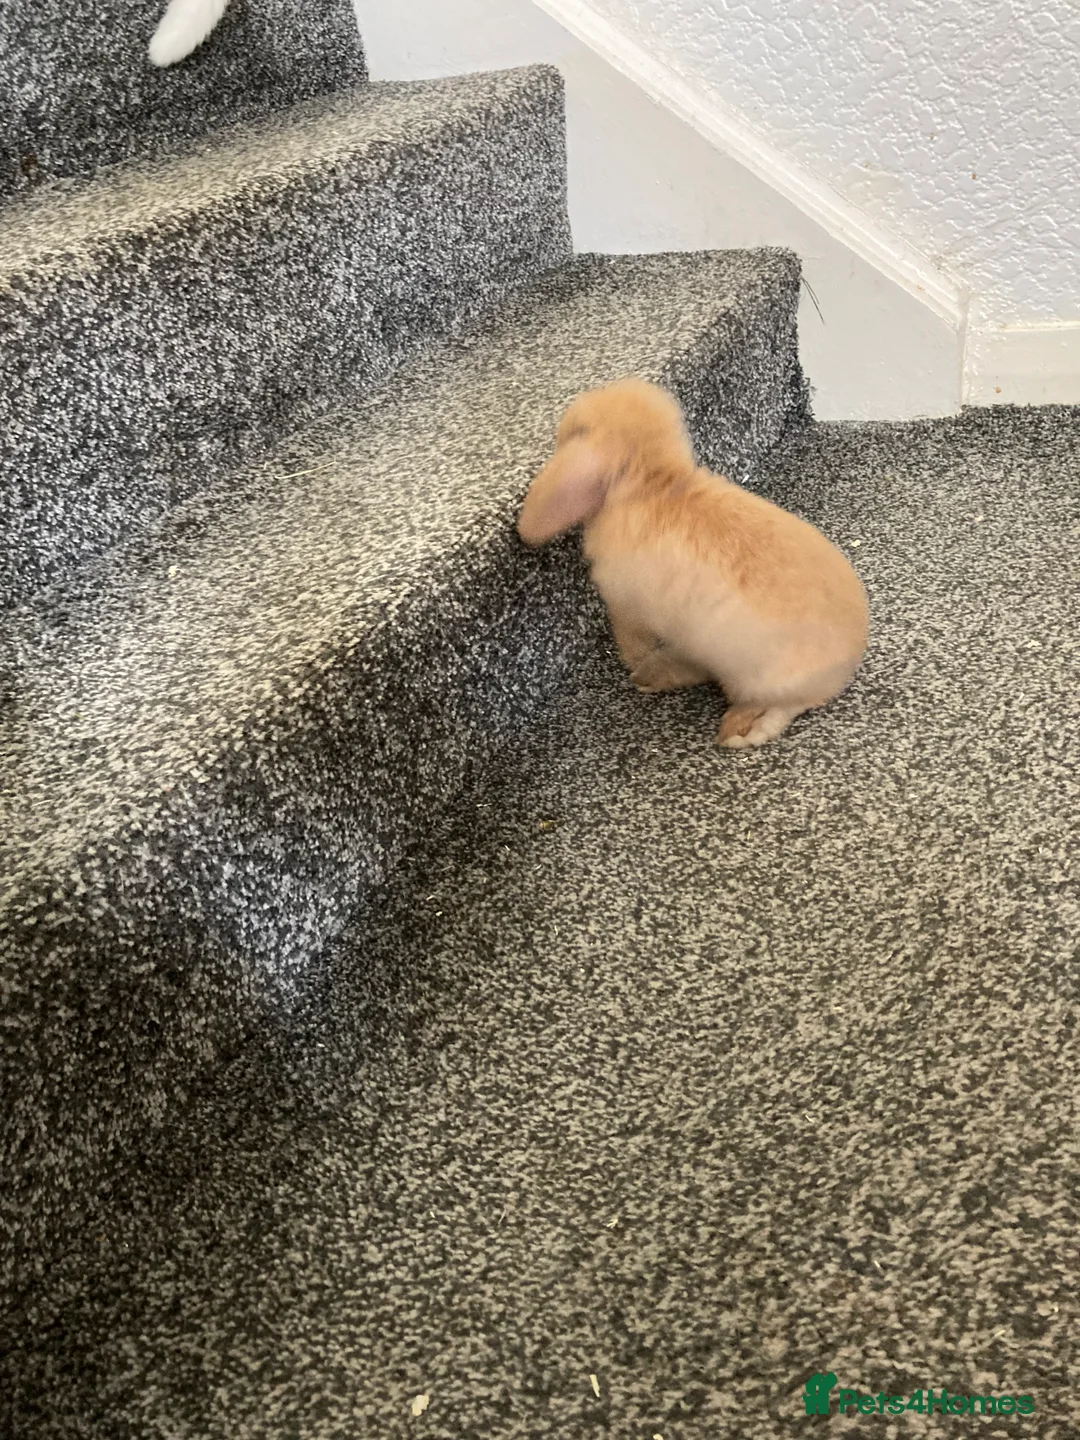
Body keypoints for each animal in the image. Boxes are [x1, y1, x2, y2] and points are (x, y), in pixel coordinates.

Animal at [517, 377, 868, 748]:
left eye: (575, 430)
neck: (653, 486)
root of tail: (845, 668)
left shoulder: (625, 605)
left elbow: (630, 636)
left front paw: (632, 659)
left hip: (759, 679)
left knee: (783, 707)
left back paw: (737, 729)